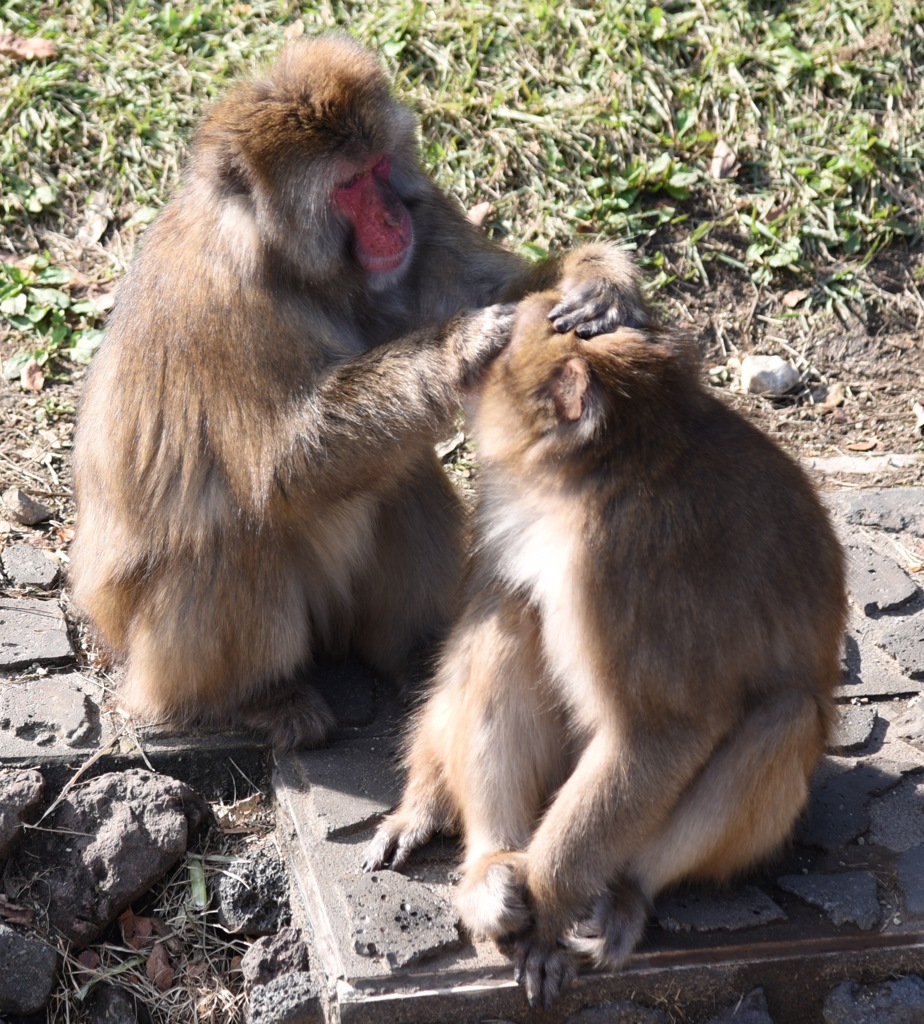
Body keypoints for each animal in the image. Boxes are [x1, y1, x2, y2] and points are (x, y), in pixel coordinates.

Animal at [68, 37, 647, 753]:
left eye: (378, 168)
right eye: (347, 186)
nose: (392, 219)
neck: (294, 268)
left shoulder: (430, 215)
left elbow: (505, 287)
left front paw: (599, 278)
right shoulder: (217, 314)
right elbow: (282, 469)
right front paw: (460, 346)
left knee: (399, 475)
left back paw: (411, 653)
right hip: (153, 654)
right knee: (238, 534)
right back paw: (251, 698)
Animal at [364, 282, 848, 1007]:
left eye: (506, 340)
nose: (468, 348)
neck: (607, 468)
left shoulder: (621, 562)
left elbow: (661, 732)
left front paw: (546, 909)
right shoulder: (508, 506)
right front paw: (422, 805)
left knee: (785, 719)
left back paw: (618, 892)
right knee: (512, 611)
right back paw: (489, 869)